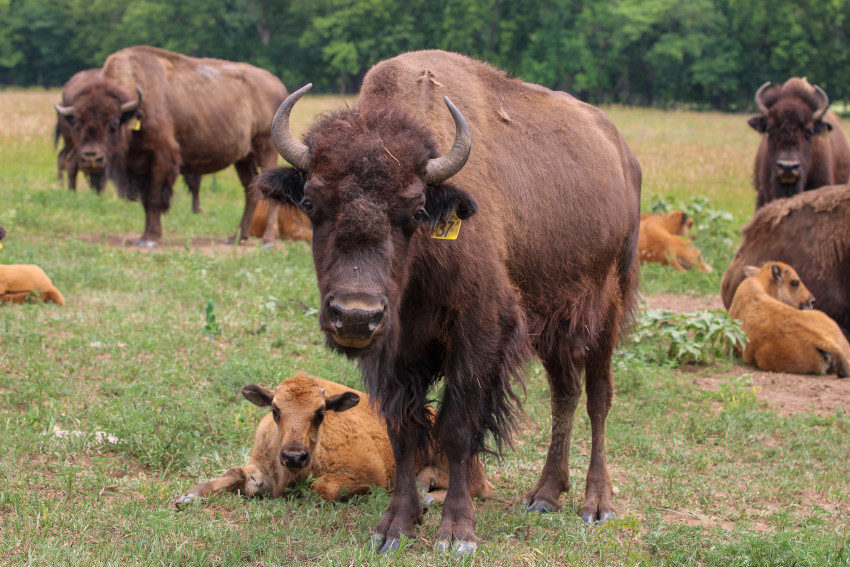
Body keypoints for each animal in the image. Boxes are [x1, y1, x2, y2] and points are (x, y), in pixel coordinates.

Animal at [55, 46, 292, 246]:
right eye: (77, 122)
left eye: (113, 123)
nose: (91, 158)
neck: (136, 108)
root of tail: (278, 85)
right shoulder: (139, 165)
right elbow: (146, 202)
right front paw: (144, 236)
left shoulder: (161, 158)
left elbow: (154, 198)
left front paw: (151, 238)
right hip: (243, 158)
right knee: (249, 190)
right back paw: (236, 237)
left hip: (266, 148)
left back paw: (268, 240)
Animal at [255, 50, 640, 556]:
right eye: (310, 203)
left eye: (417, 210)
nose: (355, 316)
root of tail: (621, 152)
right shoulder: (395, 355)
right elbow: (403, 431)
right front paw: (394, 527)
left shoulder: (478, 337)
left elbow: (457, 429)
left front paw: (457, 532)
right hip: (550, 323)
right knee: (565, 394)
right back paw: (544, 495)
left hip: (605, 307)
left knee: (598, 396)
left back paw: (597, 504)